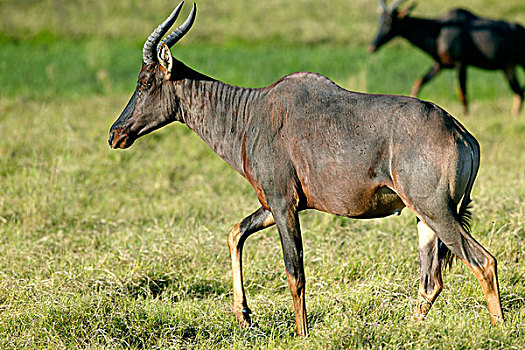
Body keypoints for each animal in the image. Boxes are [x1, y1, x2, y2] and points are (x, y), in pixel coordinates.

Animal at [107, 2, 504, 336]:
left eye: (145, 81)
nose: (116, 134)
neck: (253, 112)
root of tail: (463, 135)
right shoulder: (275, 204)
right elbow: (236, 233)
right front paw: (243, 315)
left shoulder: (284, 205)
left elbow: (294, 271)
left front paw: (301, 333)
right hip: (424, 218)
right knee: (431, 280)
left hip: (436, 210)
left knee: (482, 261)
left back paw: (499, 329)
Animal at [368, 0, 524, 115]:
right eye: (380, 20)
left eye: (390, 21)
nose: (372, 47)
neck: (439, 29)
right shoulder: (439, 65)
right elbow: (418, 83)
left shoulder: (460, 64)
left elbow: (462, 92)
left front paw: (466, 115)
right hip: (509, 67)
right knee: (519, 91)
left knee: (519, 91)